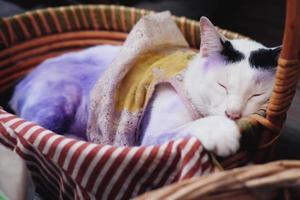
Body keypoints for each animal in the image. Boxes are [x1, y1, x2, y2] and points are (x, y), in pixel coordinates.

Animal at [9, 16, 282, 156]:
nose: (233, 114)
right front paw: (223, 132)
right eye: (221, 85)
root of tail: (21, 82)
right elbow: (194, 126)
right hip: (56, 103)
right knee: (39, 129)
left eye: (256, 94)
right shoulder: (151, 137)